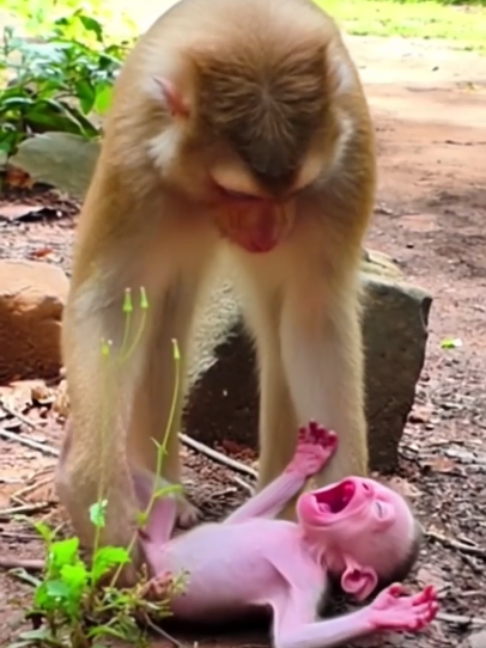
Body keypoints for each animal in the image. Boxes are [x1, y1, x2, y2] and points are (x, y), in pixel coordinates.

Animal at [56, 0, 377, 579]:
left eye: (296, 188)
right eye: (236, 191)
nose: (268, 233)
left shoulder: (346, 168)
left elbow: (316, 320)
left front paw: (349, 496)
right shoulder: (136, 161)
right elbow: (110, 303)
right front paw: (98, 494)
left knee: (277, 332)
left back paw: (277, 500)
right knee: (164, 322)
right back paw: (170, 494)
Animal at [135, 422, 437, 647]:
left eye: (379, 509)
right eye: (376, 492)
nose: (365, 485)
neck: (306, 542)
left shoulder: (310, 579)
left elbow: (291, 637)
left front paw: (383, 612)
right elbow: (236, 520)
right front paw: (306, 461)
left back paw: (149, 589)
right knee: (161, 492)